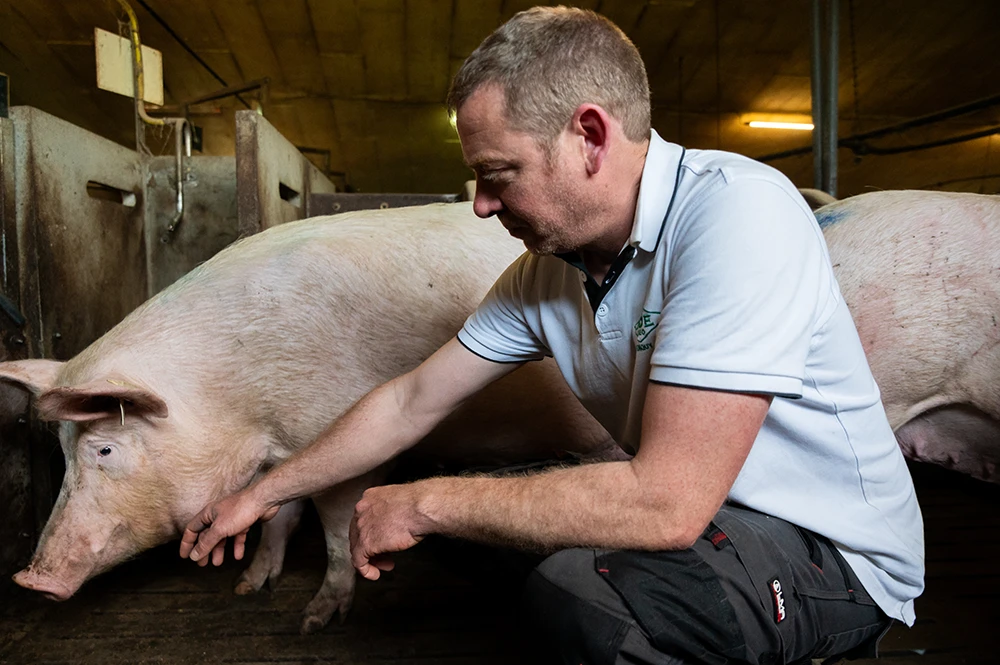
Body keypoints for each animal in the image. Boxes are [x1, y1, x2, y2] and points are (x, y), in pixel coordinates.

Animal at [0, 204, 612, 632]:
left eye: (104, 448)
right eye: (60, 453)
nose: (29, 578)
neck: (237, 399)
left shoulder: (332, 432)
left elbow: (337, 529)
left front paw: (314, 620)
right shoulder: (284, 450)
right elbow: (277, 514)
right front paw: (249, 587)